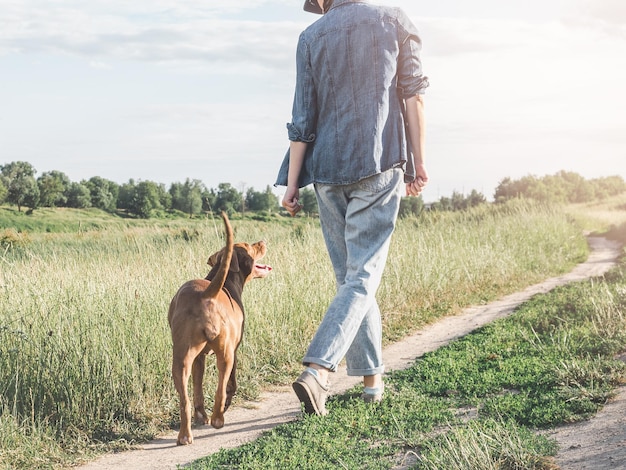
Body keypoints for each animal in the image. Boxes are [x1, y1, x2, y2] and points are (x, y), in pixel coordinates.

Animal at [167, 213, 270, 444]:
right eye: (250, 246)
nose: (262, 241)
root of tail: (207, 294)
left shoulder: (199, 357)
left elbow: (197, 389)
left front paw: (201, 416)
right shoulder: (235, 350)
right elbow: (231, 385)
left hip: (181, 358)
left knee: (184, 399)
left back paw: (185, 434)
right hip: (226, 353)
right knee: (221, 388)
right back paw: (218, 418)